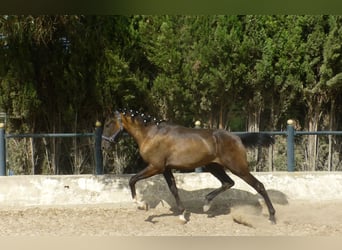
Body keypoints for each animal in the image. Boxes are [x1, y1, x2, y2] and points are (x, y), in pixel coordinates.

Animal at [101, 110, 276, 224]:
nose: (104, 146)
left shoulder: (155, 167)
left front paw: (141, 205)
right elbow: (174, 189)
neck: (151, 135)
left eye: (108, 124)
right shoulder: (165, 169)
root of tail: (237, 138)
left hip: (237, 167)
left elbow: (132, 180)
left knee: (259, 185)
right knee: (228, 182)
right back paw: (206, 204)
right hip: (213, 166)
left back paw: (272, 217)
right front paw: (182, 215)